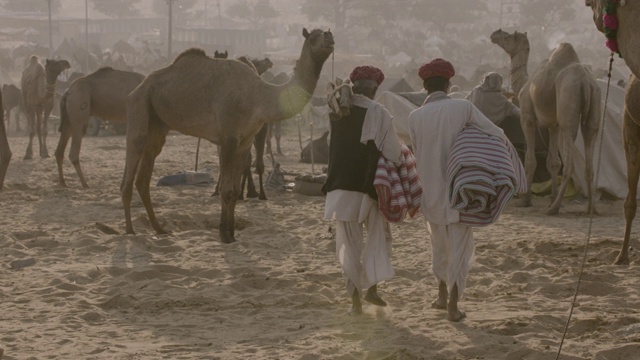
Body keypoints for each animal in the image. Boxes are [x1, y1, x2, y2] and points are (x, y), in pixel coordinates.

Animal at [122, 28, 338, 243]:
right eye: (313, 38)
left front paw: (232, 232)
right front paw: (224, 235)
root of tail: (139, 86)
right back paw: (130, 230)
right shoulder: (229, 137)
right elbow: (226, 190)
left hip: (158, 124)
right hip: (139, 104)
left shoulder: (245, 140)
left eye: (325, 32)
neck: (259, 96)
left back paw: (159, 229)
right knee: (133, 155)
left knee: (145, 173)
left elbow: (234, 189)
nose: (329, 36)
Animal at [516, 42, 604, 217]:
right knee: (589, 155)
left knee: (570, 163)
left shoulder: (527, 116)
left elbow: (530, 161)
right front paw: (551, 197)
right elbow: (553, 162)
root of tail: (585, 81)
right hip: (595, 105)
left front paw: (525, 200)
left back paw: (554, 209)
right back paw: (591, 208)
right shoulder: (553, 125)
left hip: (568, 105)